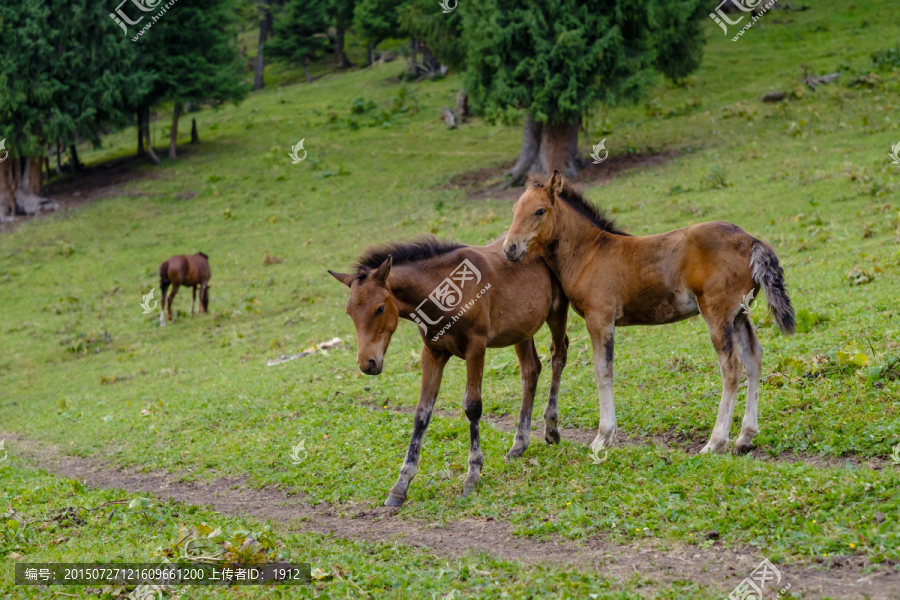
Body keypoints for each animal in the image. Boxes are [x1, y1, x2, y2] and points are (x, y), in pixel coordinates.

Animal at [328, 237, 568, 508]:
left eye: (379, 308)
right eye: (349, 311)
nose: (367, 363)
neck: (444, 292)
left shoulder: (476, 348)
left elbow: (472, 407)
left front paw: (473, 474)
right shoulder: (432, 354)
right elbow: (422, 414)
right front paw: (401, 485)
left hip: (557, 311)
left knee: (558, 355)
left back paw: (551, 429)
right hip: (522, 328)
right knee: (530, 370)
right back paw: (519, 445)